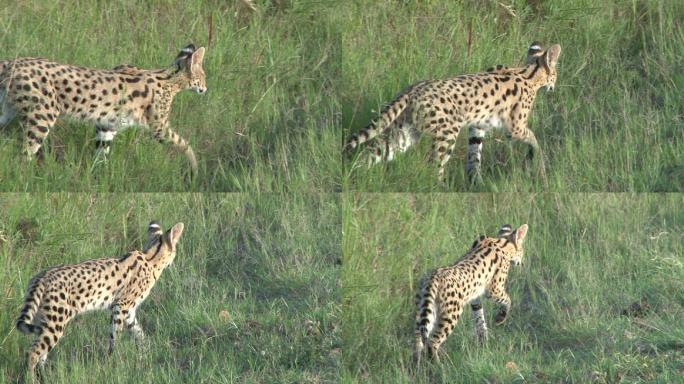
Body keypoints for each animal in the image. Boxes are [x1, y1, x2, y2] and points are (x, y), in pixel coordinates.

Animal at [0, 43, 206, 172]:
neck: (169, 79)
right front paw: (195, 169)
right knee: (23, 155)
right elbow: (184, 144)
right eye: (203, 76)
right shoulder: (159, 127)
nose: (205, 88)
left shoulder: (107, 125)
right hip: (43, 116)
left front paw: (101, 177)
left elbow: (102, 154)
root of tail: (12, 61)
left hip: (6, 111)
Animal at [16, 220, 184, 380]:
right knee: (33, 354)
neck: (151, 258)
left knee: (41, 355)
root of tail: (41, 276)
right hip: (56, 323)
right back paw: (32, 378)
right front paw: (112, 361)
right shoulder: (121, 306)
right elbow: (115, 337)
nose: (174, 261)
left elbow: (139, 334)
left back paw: (44, 377)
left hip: (44, 321)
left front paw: (145, 354)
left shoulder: (129, 312)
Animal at [344, 42, 560, 184]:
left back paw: (355, 175)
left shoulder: (477, 126)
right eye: (556, 74)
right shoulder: (514, 128)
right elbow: (533, 137)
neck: (528, 73)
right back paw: (439, 188)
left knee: (373, 152)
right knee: (435, 166)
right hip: (447, 133)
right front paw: (537, 156)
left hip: (405, 132)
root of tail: (414, 88)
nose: (554, 87)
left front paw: (476, 181)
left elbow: (474, 155)